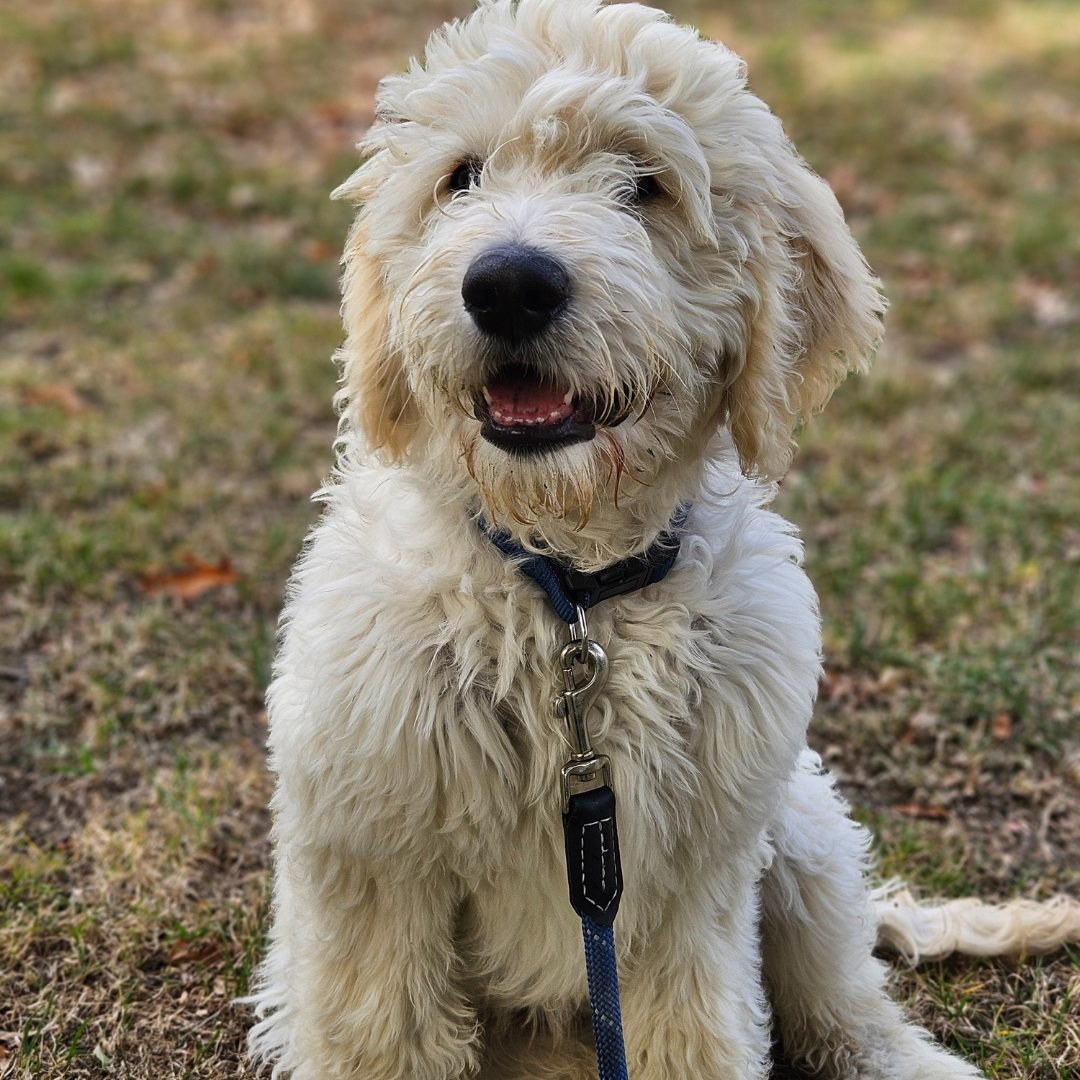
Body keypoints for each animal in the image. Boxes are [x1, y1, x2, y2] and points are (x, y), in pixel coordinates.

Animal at [247, 2, 1080, 1080]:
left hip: (797, 837)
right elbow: (383, 1037)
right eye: (461, 175)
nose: (508, 285)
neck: (568, 590)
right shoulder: (374, 863)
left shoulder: (691, 880)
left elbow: (699, 1035)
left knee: (846, 1006)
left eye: (644, 183)